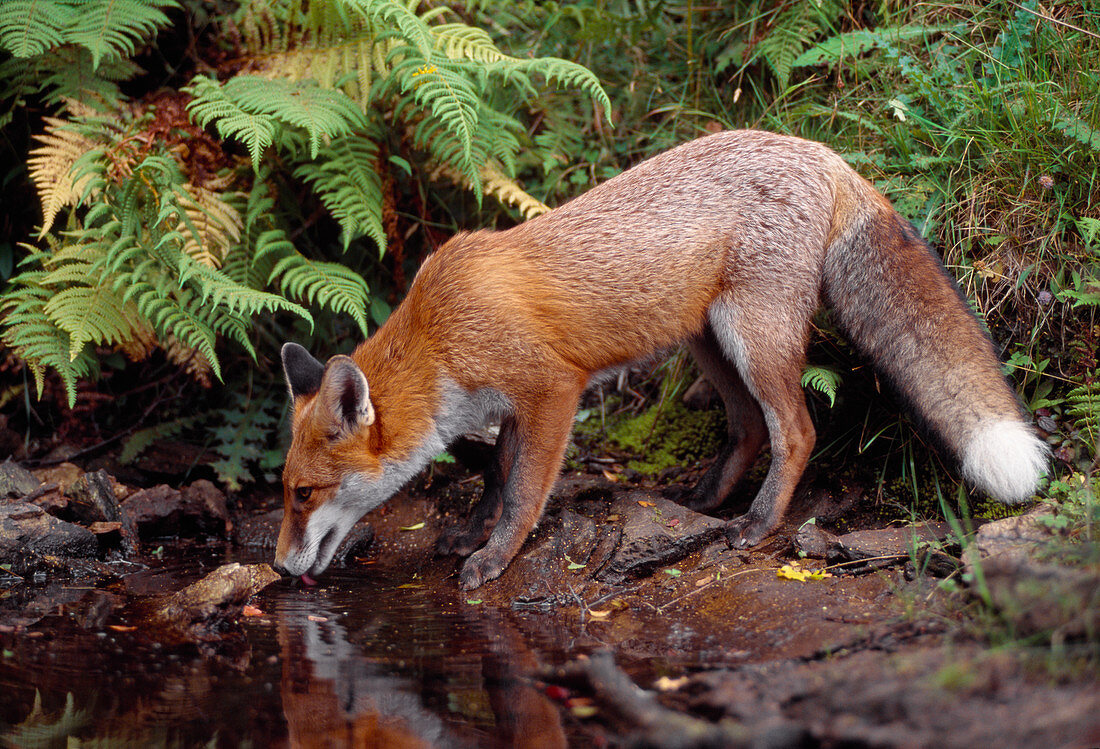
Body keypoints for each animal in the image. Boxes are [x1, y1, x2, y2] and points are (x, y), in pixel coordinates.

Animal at [275, 128, 1047, 585]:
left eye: (302, 494)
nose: (281, 569)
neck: (440, 334)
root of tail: (818, 149)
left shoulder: (552, 388)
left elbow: (523, 491)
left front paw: (495, 555)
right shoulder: (508, 406)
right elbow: (494, 473)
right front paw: (469, 533)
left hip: (753, 338)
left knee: (796, 431)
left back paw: (757, 524)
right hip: (710, 343)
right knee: (747, 427)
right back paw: (705, 501)